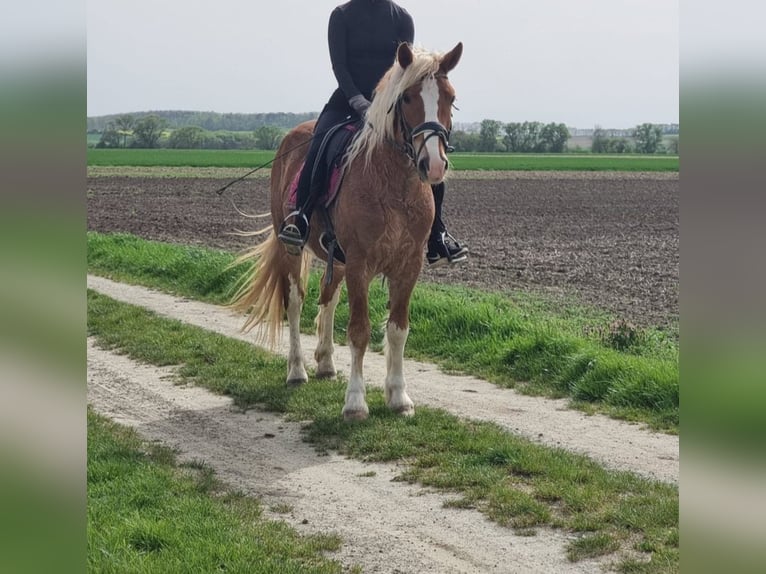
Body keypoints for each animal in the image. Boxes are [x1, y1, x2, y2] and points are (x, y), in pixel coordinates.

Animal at [231, 42, 464, 420]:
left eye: (450, 97)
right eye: (407, 97)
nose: (434, 165)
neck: (393, 184)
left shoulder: (408, 266)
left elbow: (398, 330)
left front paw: (399, 397)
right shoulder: (359, 264)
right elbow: (359, 330)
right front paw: (355, 402)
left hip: (336, 259)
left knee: (327, 298)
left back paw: (326, 364)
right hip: (293, 249)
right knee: (295, 302)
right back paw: (297, 371)